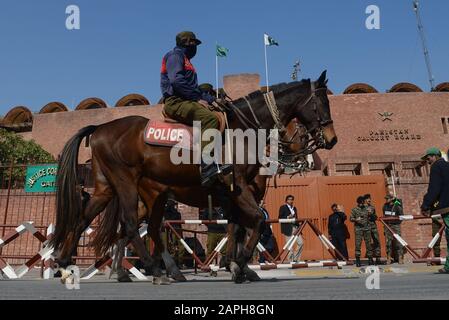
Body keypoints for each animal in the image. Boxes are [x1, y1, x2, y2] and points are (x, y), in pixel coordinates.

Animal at [50, 71, 334, 284]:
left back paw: (66, 263)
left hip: (111, 188)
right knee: (130, 225)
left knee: (90, 219)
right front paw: (240, 264)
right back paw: (154, 269)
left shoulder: (232, 195)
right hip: (126, 181)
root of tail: (100, 127)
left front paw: (237, 266)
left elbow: (237, 228)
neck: (242, 129)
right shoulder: (239, 188)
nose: (331, 139)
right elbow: (255, 221)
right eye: (321, 103)